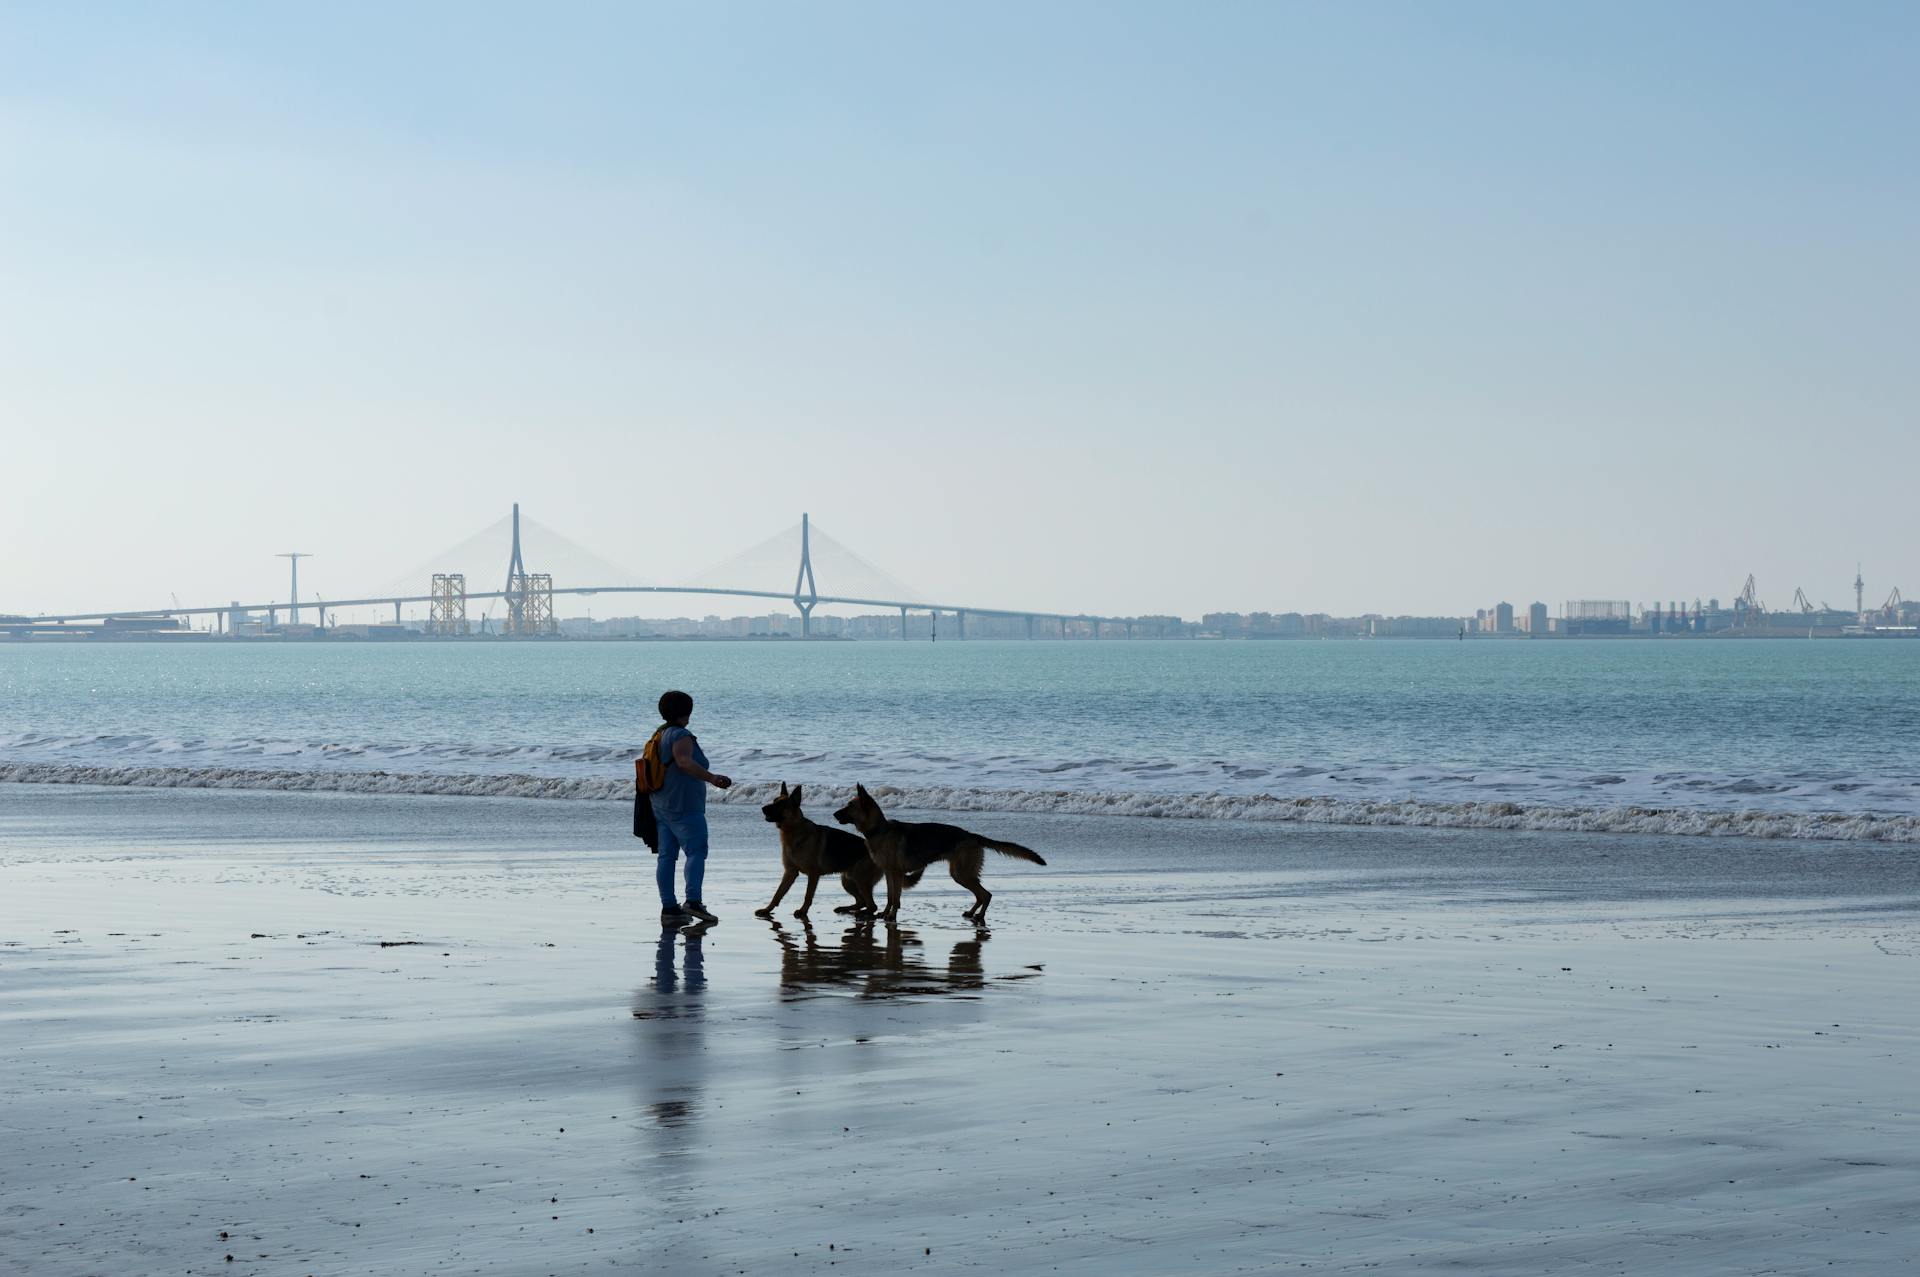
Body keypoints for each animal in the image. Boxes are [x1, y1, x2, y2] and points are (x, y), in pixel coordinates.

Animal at [756, 775, 921, 917]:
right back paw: (845, 909)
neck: (794, 831)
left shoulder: (813, 875)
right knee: (862, 902)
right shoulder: (790, 873)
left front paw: (803, 911)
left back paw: (859, 913)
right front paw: (767, 909)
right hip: (847, 880)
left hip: (859, 879)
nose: (763, 808)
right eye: (774, 801)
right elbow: (777, 893)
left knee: (871, 905)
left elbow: (807, 896)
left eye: (780, 805)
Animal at [829, 783, 1044, 921]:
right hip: (960, 874)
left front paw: (891, 916)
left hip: (962, 874)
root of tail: (971, 835)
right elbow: (891, 897)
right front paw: (885, 914)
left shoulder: (896, 873)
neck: (878, 829)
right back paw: (971, 913)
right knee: (981, 895)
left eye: (850, 806)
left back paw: (980, 916)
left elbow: (895, 898)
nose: (833, 814)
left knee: (986, 894)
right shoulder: (890, 873)